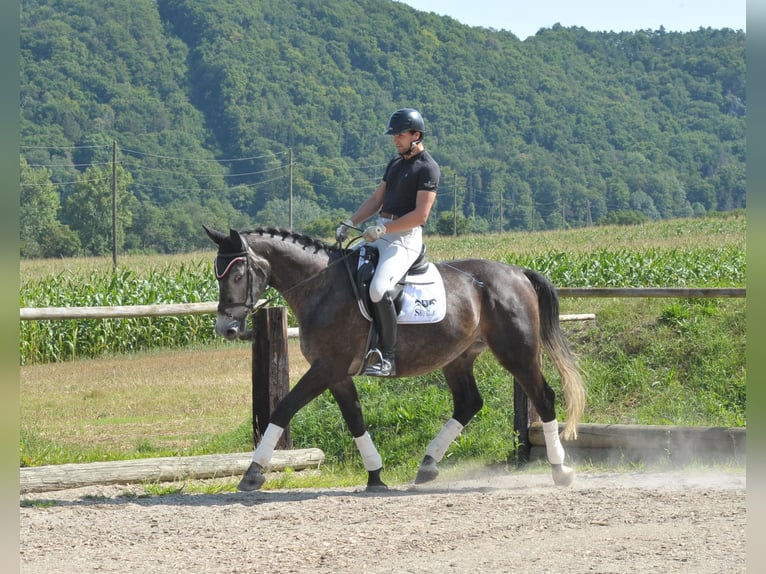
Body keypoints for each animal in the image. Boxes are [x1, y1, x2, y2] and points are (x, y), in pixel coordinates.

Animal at [204, 225, 588, 490]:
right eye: (216, 274)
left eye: (237, 274)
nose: (226, 328)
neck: (321, 287)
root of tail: (517, 271)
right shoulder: (337, 373)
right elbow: (355, 419)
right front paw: (375, 475)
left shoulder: (326, 368)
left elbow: (283, 409)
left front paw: (252, 473)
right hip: (458, 357)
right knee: (469, 403)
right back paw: (428, 465)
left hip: (518, 352)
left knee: (544, 396)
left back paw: (560, 469)